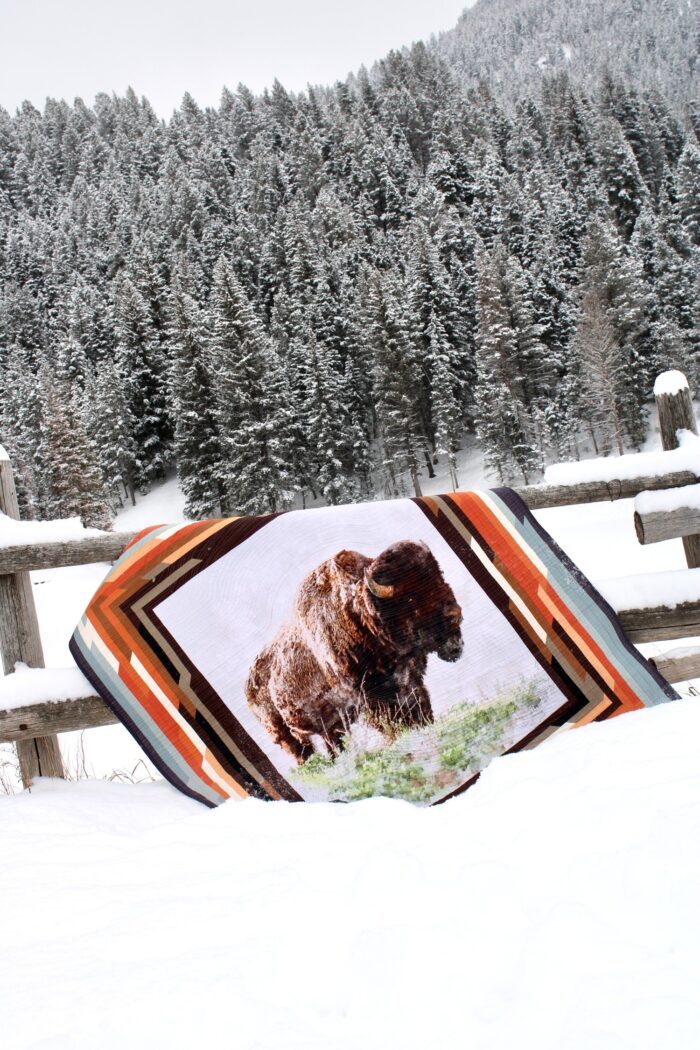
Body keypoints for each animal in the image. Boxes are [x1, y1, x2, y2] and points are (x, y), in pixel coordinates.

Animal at [246, 541, 465, 764]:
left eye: (439, 574)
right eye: (411, 597)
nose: (455, 614)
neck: (360, 614)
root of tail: (249, 690)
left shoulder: (410, 679)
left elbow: (419, 705)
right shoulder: (370, 696)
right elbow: (394, 719)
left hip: (330, 727)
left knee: (332, 743)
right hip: (286, 736)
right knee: (302, 752)